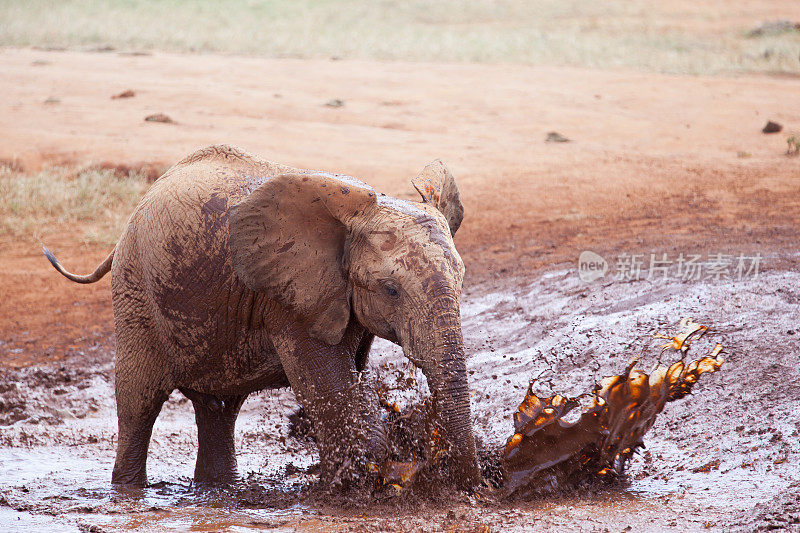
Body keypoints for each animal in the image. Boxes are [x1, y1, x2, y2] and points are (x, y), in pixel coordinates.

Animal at [43, 143, 478, 488]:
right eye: (391, 290)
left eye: (462, 280)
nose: (470, 487)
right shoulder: (289, 299)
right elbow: (329, 388)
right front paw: (360, 484)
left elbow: (348, 380)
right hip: (136, 289)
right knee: (139, 400)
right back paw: (128, 491)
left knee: (219, 408)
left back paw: (217, 489)